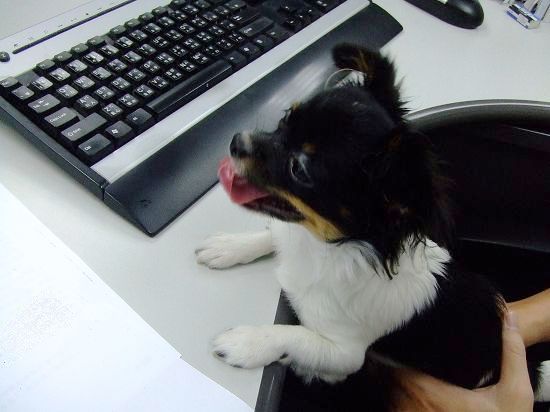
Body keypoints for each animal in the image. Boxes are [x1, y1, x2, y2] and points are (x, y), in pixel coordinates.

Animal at [195, 43, 549, 409]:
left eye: (299, 170)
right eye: (284, 120)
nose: (236, 141)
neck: (320, 248)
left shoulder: (344, 354)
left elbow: (294, 334)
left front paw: (248, 342)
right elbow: (273, 233)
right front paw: (228, 246)